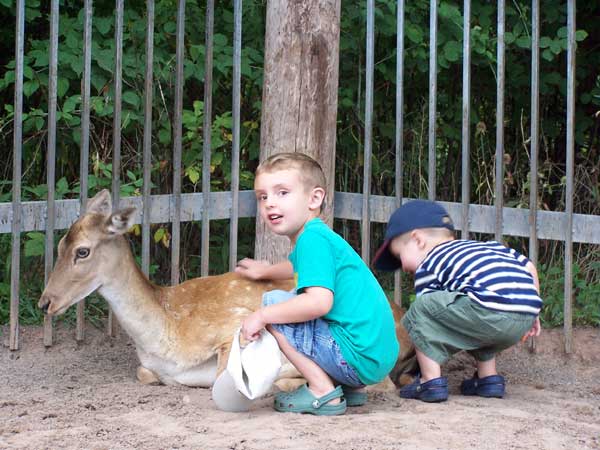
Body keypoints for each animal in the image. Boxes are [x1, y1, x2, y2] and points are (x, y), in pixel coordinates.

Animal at [36, 191, 412, 394]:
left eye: (82, 251)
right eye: (59, 244)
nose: (45, 302)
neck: (165, 333)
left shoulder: (229, 325)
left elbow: (221, 377)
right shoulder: (148, 367)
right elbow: (145, 374)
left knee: (384, 383)